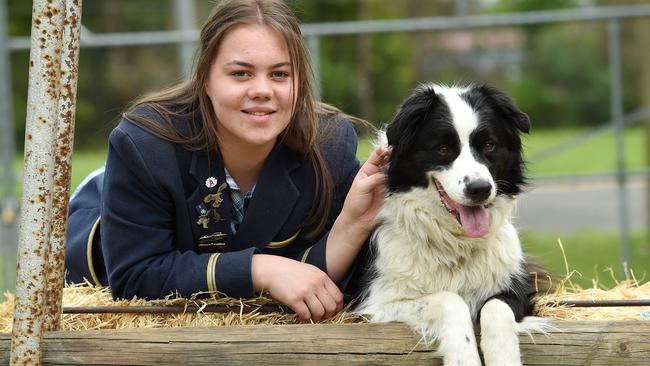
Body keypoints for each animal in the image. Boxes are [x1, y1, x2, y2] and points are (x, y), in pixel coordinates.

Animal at [354, 83, 548, 366]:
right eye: (443, 149)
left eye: (489, 145)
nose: (479, 189)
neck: (455, 243)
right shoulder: (379, 300)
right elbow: (450, 300)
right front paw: (463, 357)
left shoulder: (517, 290)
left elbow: (496, 308)